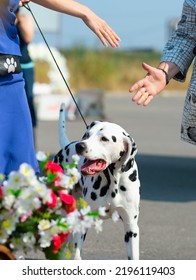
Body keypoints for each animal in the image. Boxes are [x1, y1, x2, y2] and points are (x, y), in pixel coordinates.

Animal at [53, 103, 141, 260]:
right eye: (87, 135)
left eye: (104, 139)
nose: (80, 146)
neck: (113, 182)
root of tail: (67, 145)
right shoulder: (84, 222)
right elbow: (76, 255)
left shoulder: (131, 227)